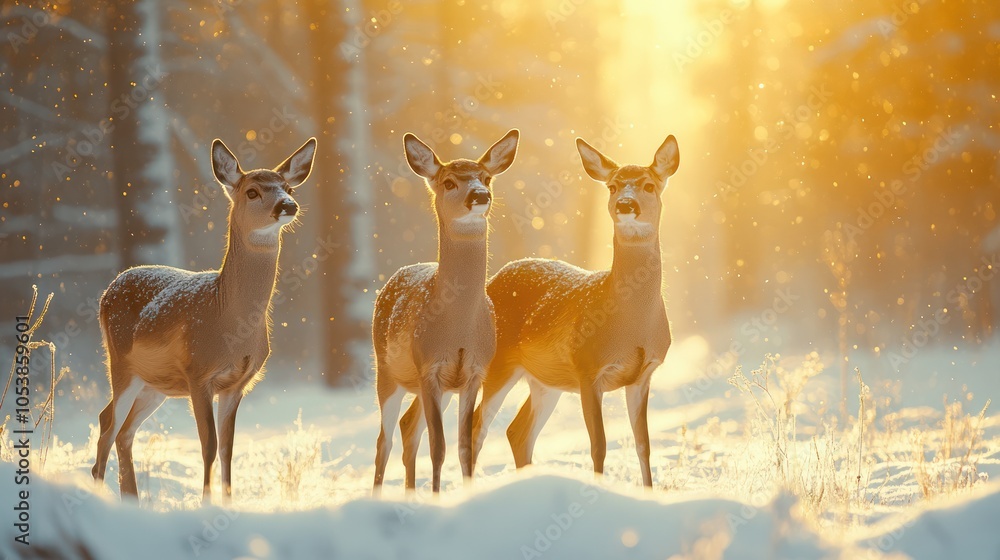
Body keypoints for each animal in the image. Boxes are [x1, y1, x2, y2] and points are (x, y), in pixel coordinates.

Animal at [91, 137, 317, 504]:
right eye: (252, 191)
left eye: (288, 187)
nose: (288, 205)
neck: (228, 318)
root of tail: (109, 290)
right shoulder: (198, 374)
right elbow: (208, 446)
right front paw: (206, 502)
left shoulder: (237, 384)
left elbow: (227, 449)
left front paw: (227, 502)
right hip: (121, 364)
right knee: (109, 423)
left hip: (154, 385)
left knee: (121, 429)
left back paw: (132, 499)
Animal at [372, 129, 519, 495]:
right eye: (450, 182)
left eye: (486, 177)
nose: (480, 195)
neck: (459, 327)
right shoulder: (429, 367)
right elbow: (438, 447)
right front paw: (438, 498)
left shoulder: (474, 372)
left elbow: (465, 446)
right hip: (386, 372)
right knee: (384, 440)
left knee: (408, 427)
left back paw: (411, 494)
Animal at [471, 135, 679, 487]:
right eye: (612, 186)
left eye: (649, 185)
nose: (626, 205)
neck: (633, 323)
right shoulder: (588, 369)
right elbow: (599, 446)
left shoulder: (642, 375)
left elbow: (644, 445)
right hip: (499, 364)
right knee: (477, 427)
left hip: (545, 380)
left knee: (517, 431)